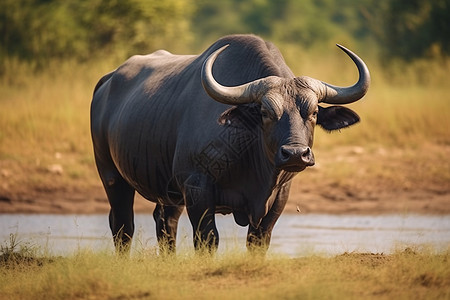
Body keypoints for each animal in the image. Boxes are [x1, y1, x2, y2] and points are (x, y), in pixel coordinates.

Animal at [90, 34, 370, 254]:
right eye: (266, 112)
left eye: (313, 112)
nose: (294, 154)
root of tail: (107, 81)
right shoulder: (197, 188)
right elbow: (207, 241)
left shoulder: (279, 196)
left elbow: (259, 241)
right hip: (111, 175)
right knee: (123, 226)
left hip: (168, 192)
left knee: (165, 223)